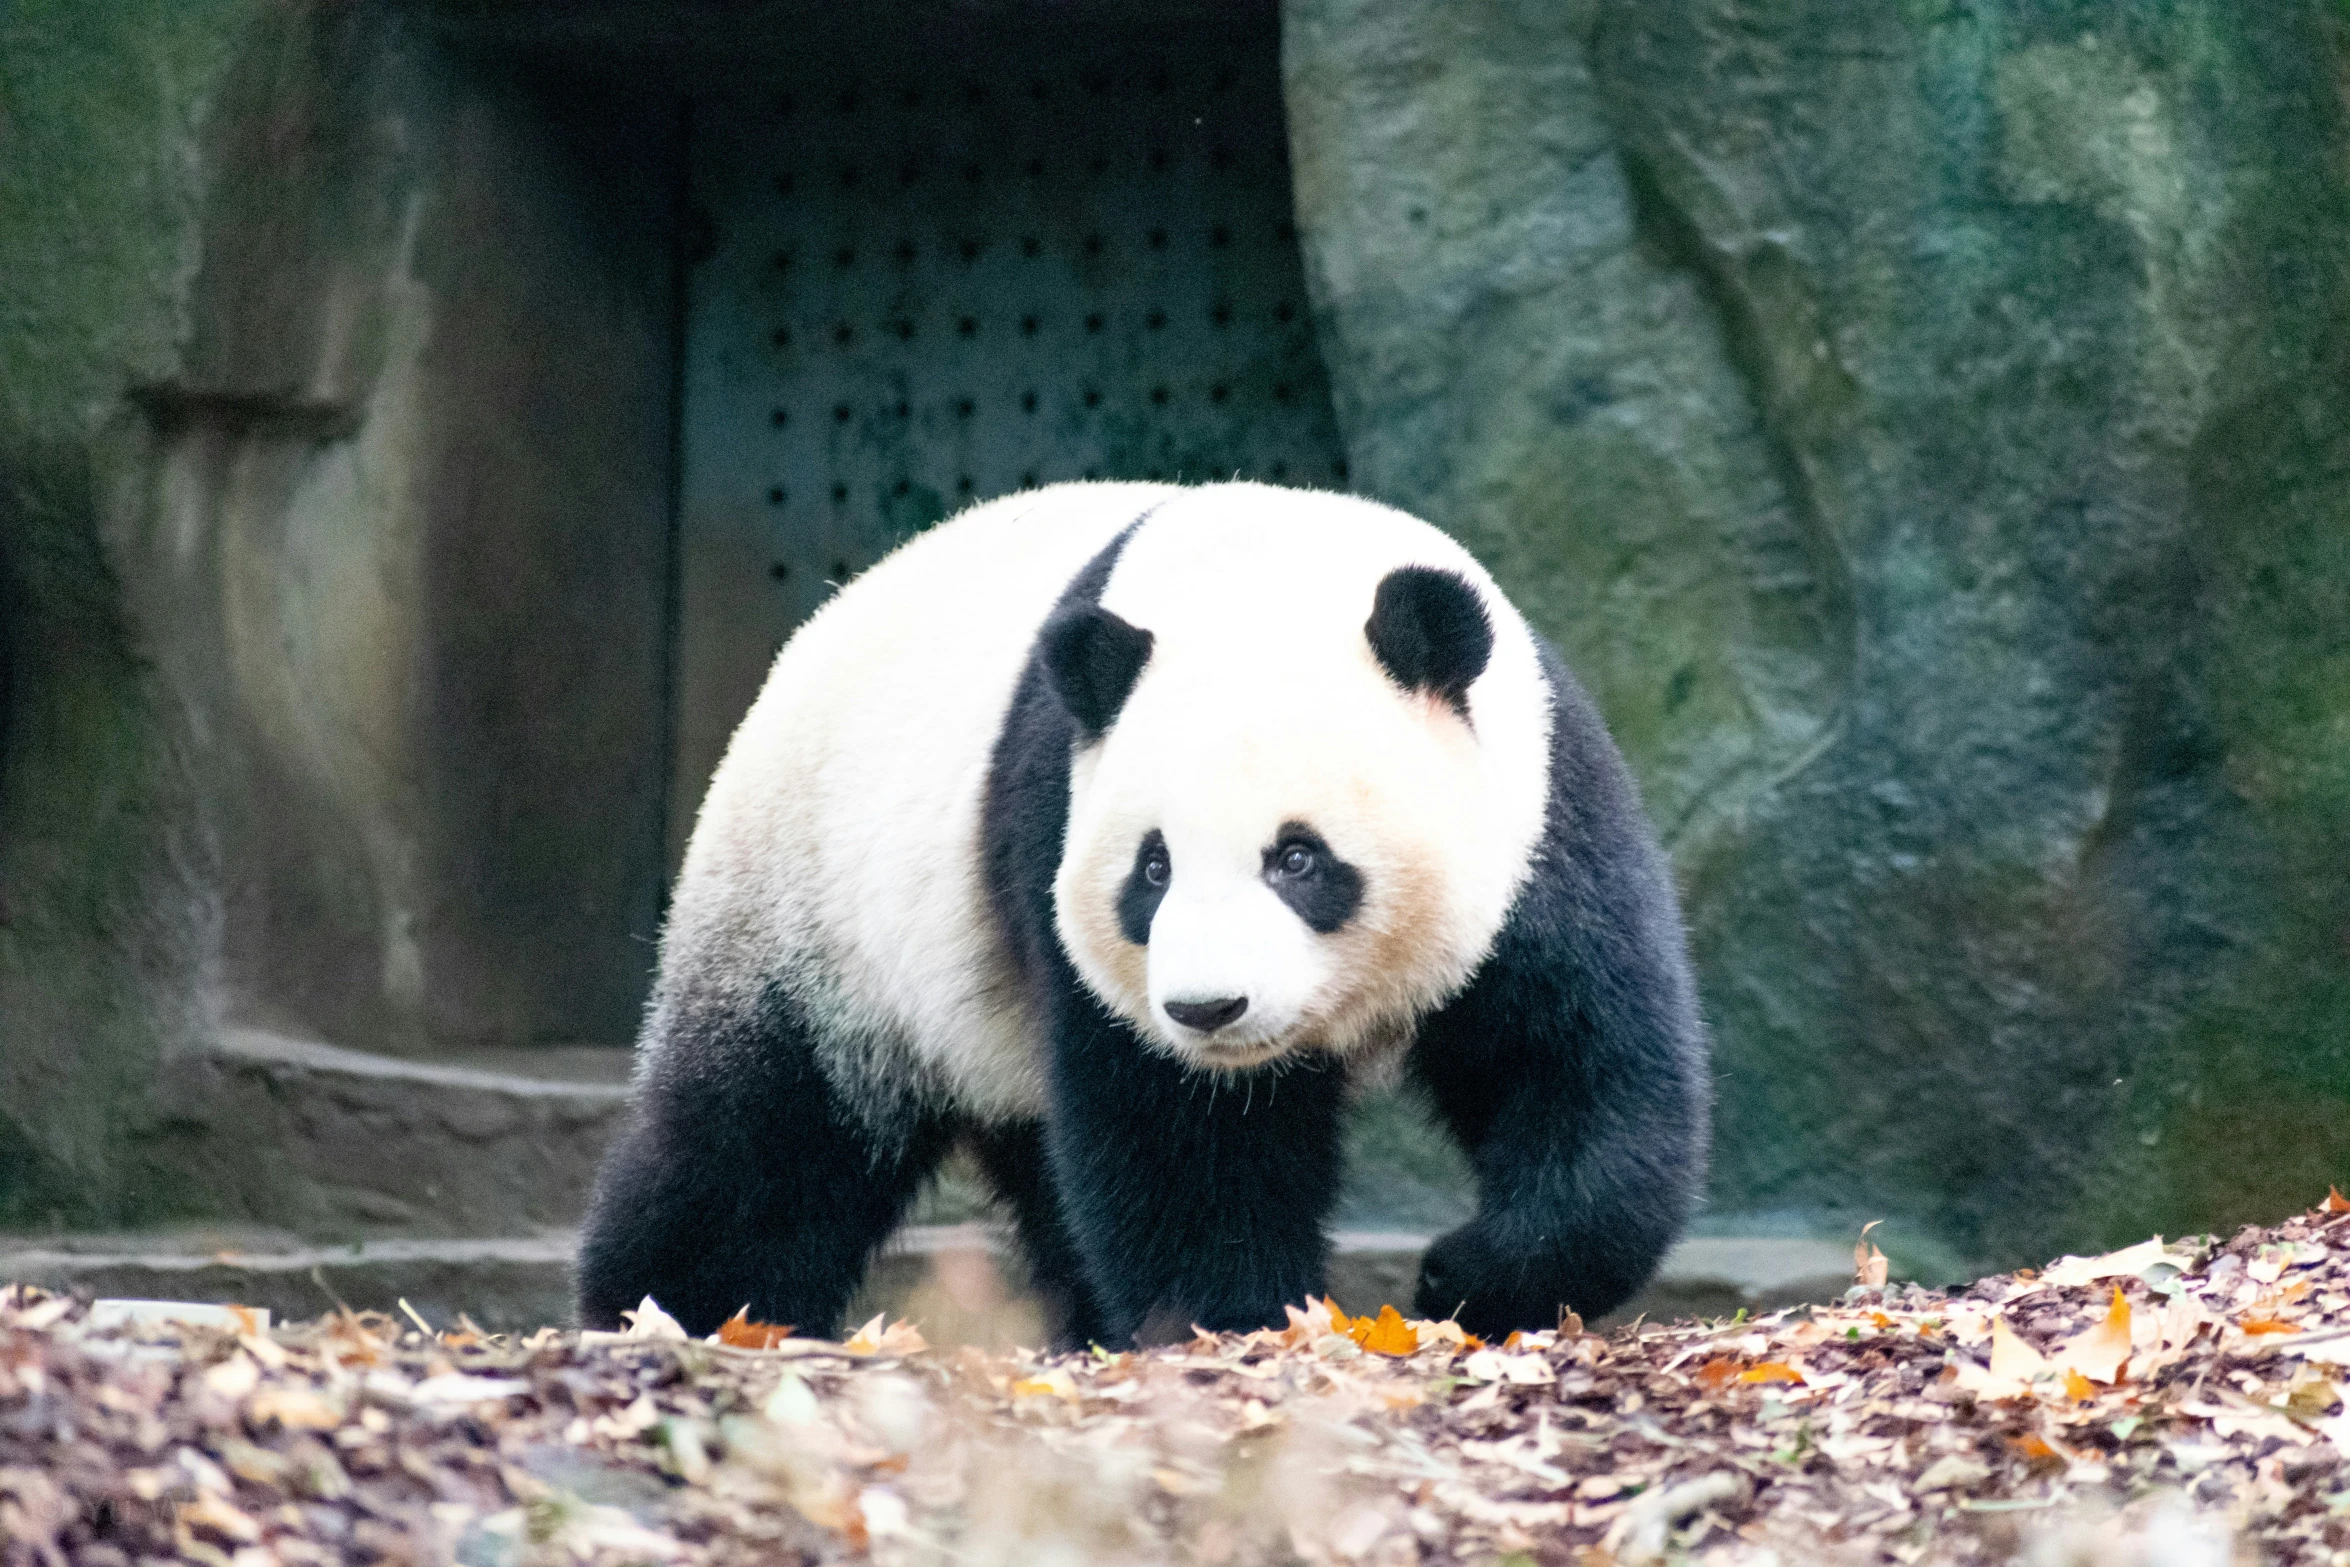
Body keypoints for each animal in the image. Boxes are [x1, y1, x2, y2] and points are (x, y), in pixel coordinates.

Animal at [568, 481, 1710, 1353]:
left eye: (1299, 858)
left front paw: (1465, 1275)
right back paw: (671, 1308)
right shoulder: (1055, 826)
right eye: (1150, 870)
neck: (1266, 573)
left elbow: (1582, 1064)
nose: (1210, 1008)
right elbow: (1177, 1133)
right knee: (764, 1137)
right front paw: (1240, 1321)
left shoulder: (1541, 821)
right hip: (817, 912)